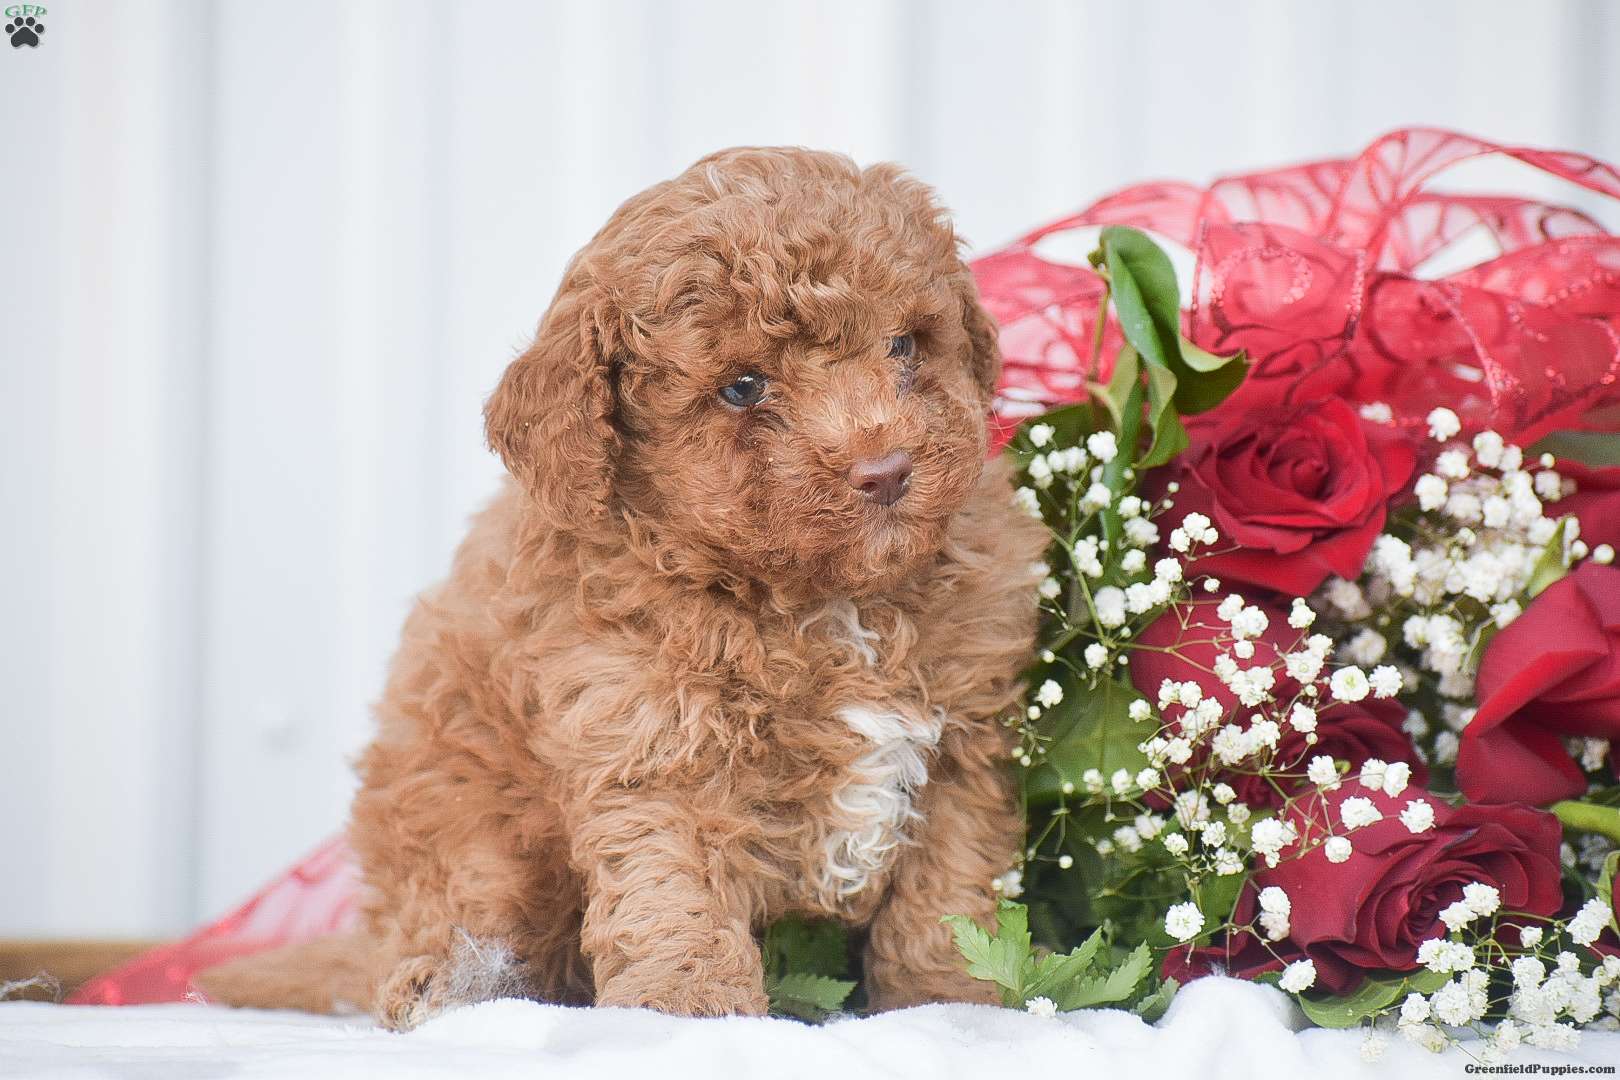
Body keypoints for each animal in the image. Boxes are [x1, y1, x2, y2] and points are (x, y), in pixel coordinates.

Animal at [200, 147, 1046, 1025]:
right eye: (743, 387)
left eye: (904, 345)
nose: (885, 471)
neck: (826, 600)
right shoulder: (650, 738)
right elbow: (673, 887)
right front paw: (689, 1004)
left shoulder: (966, 741)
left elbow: (947, 891)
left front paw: (952, 997)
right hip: (458, 815)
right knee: (460, 911)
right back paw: (453, 985)